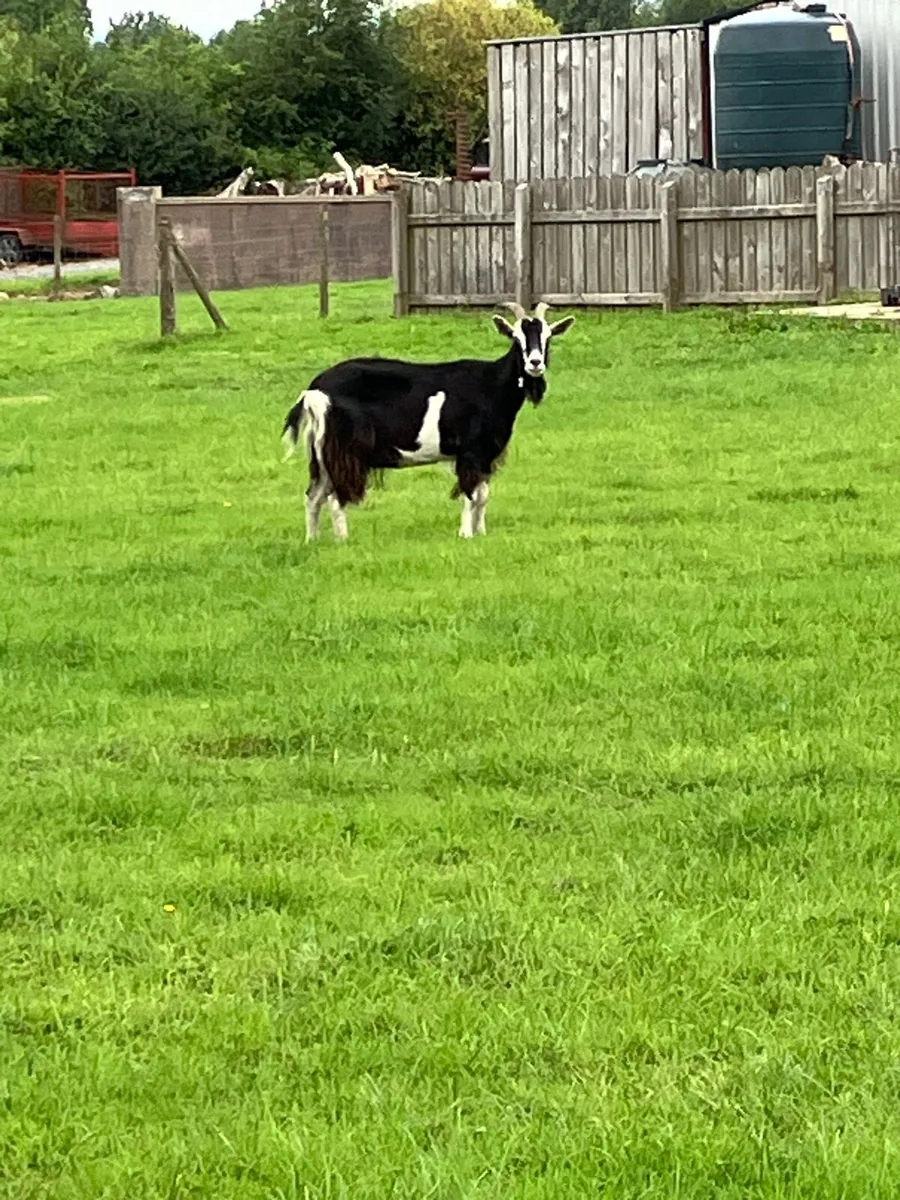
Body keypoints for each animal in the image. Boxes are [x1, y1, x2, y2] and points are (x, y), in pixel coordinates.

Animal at [281, 301, 575, 541]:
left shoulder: (486, 455)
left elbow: (483, 495)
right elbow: (470, 495)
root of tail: (314, 390)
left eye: (548, 337)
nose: (535, 363)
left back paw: (312, 540)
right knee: (335, 498)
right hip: (344, 449)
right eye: (516, 338)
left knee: (313, 496)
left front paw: (481, 532)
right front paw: (466, 534)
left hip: (321, 452)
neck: (490, 385)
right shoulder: (470, 452)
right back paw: (343, 540)